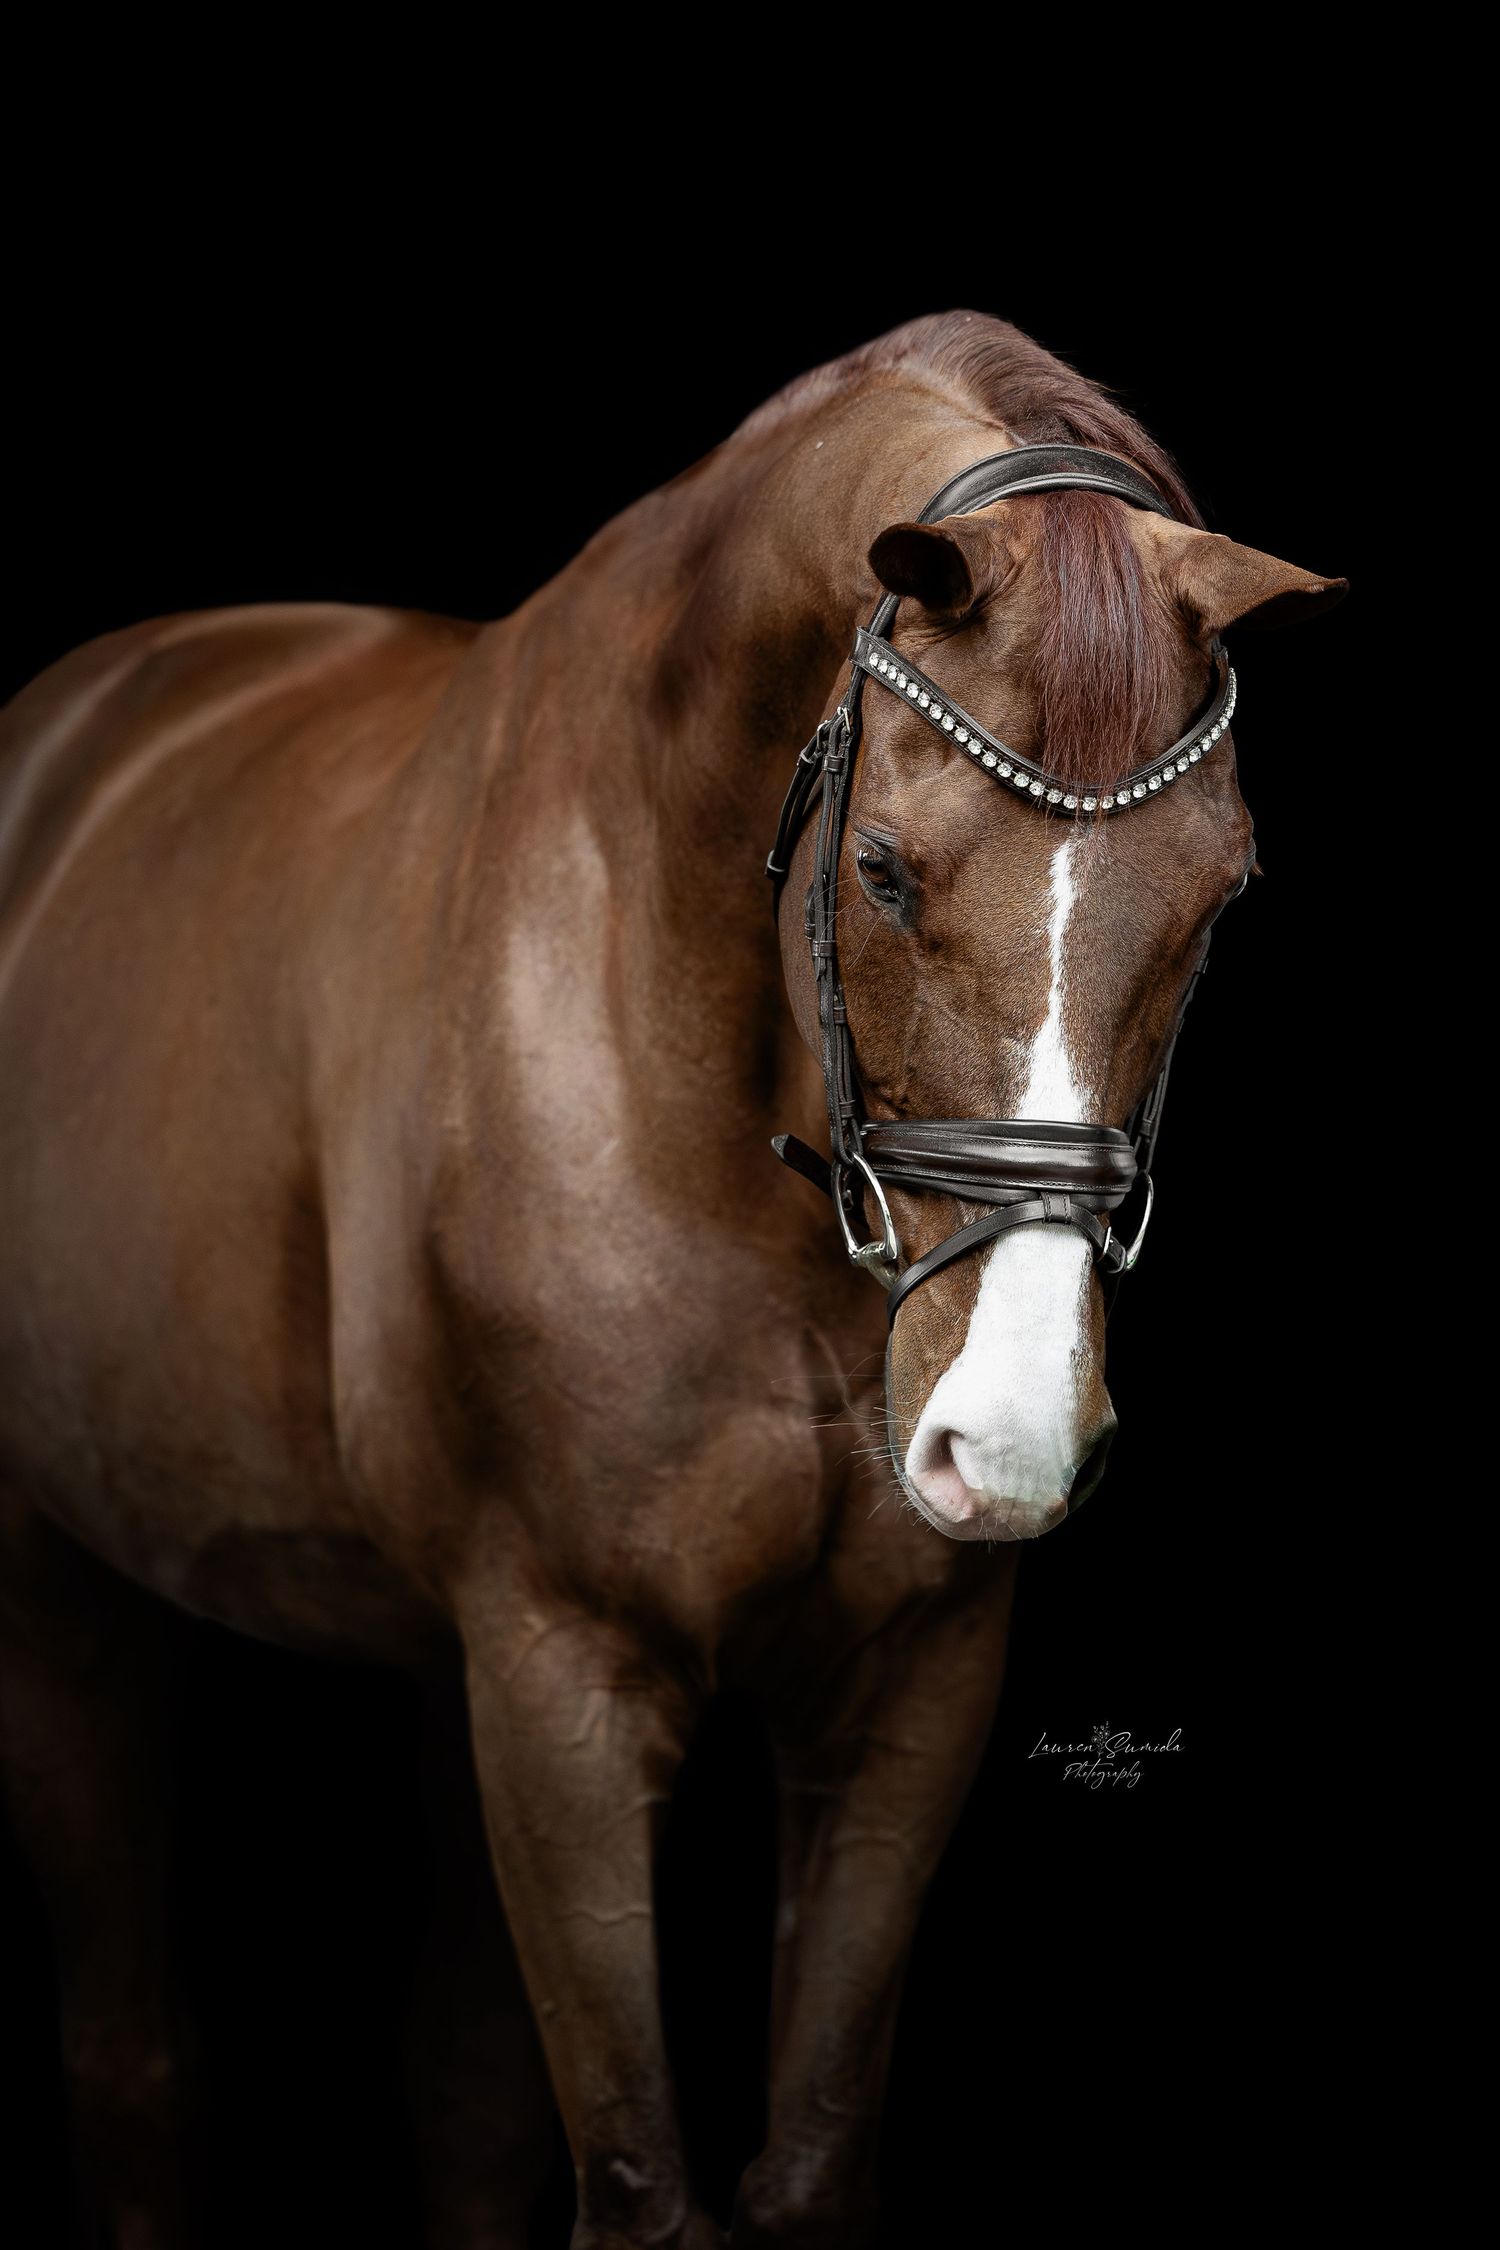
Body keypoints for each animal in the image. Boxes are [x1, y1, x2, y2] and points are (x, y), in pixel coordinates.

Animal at [0, 312, 1345, 2249]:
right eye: (884, 871)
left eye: (1224, 895)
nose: (1007, 1433)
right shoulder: (564, 1677)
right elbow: (640, 2184)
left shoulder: (908, 1686)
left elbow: (798, 2161)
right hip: (69, 1588)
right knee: (132, 2057)